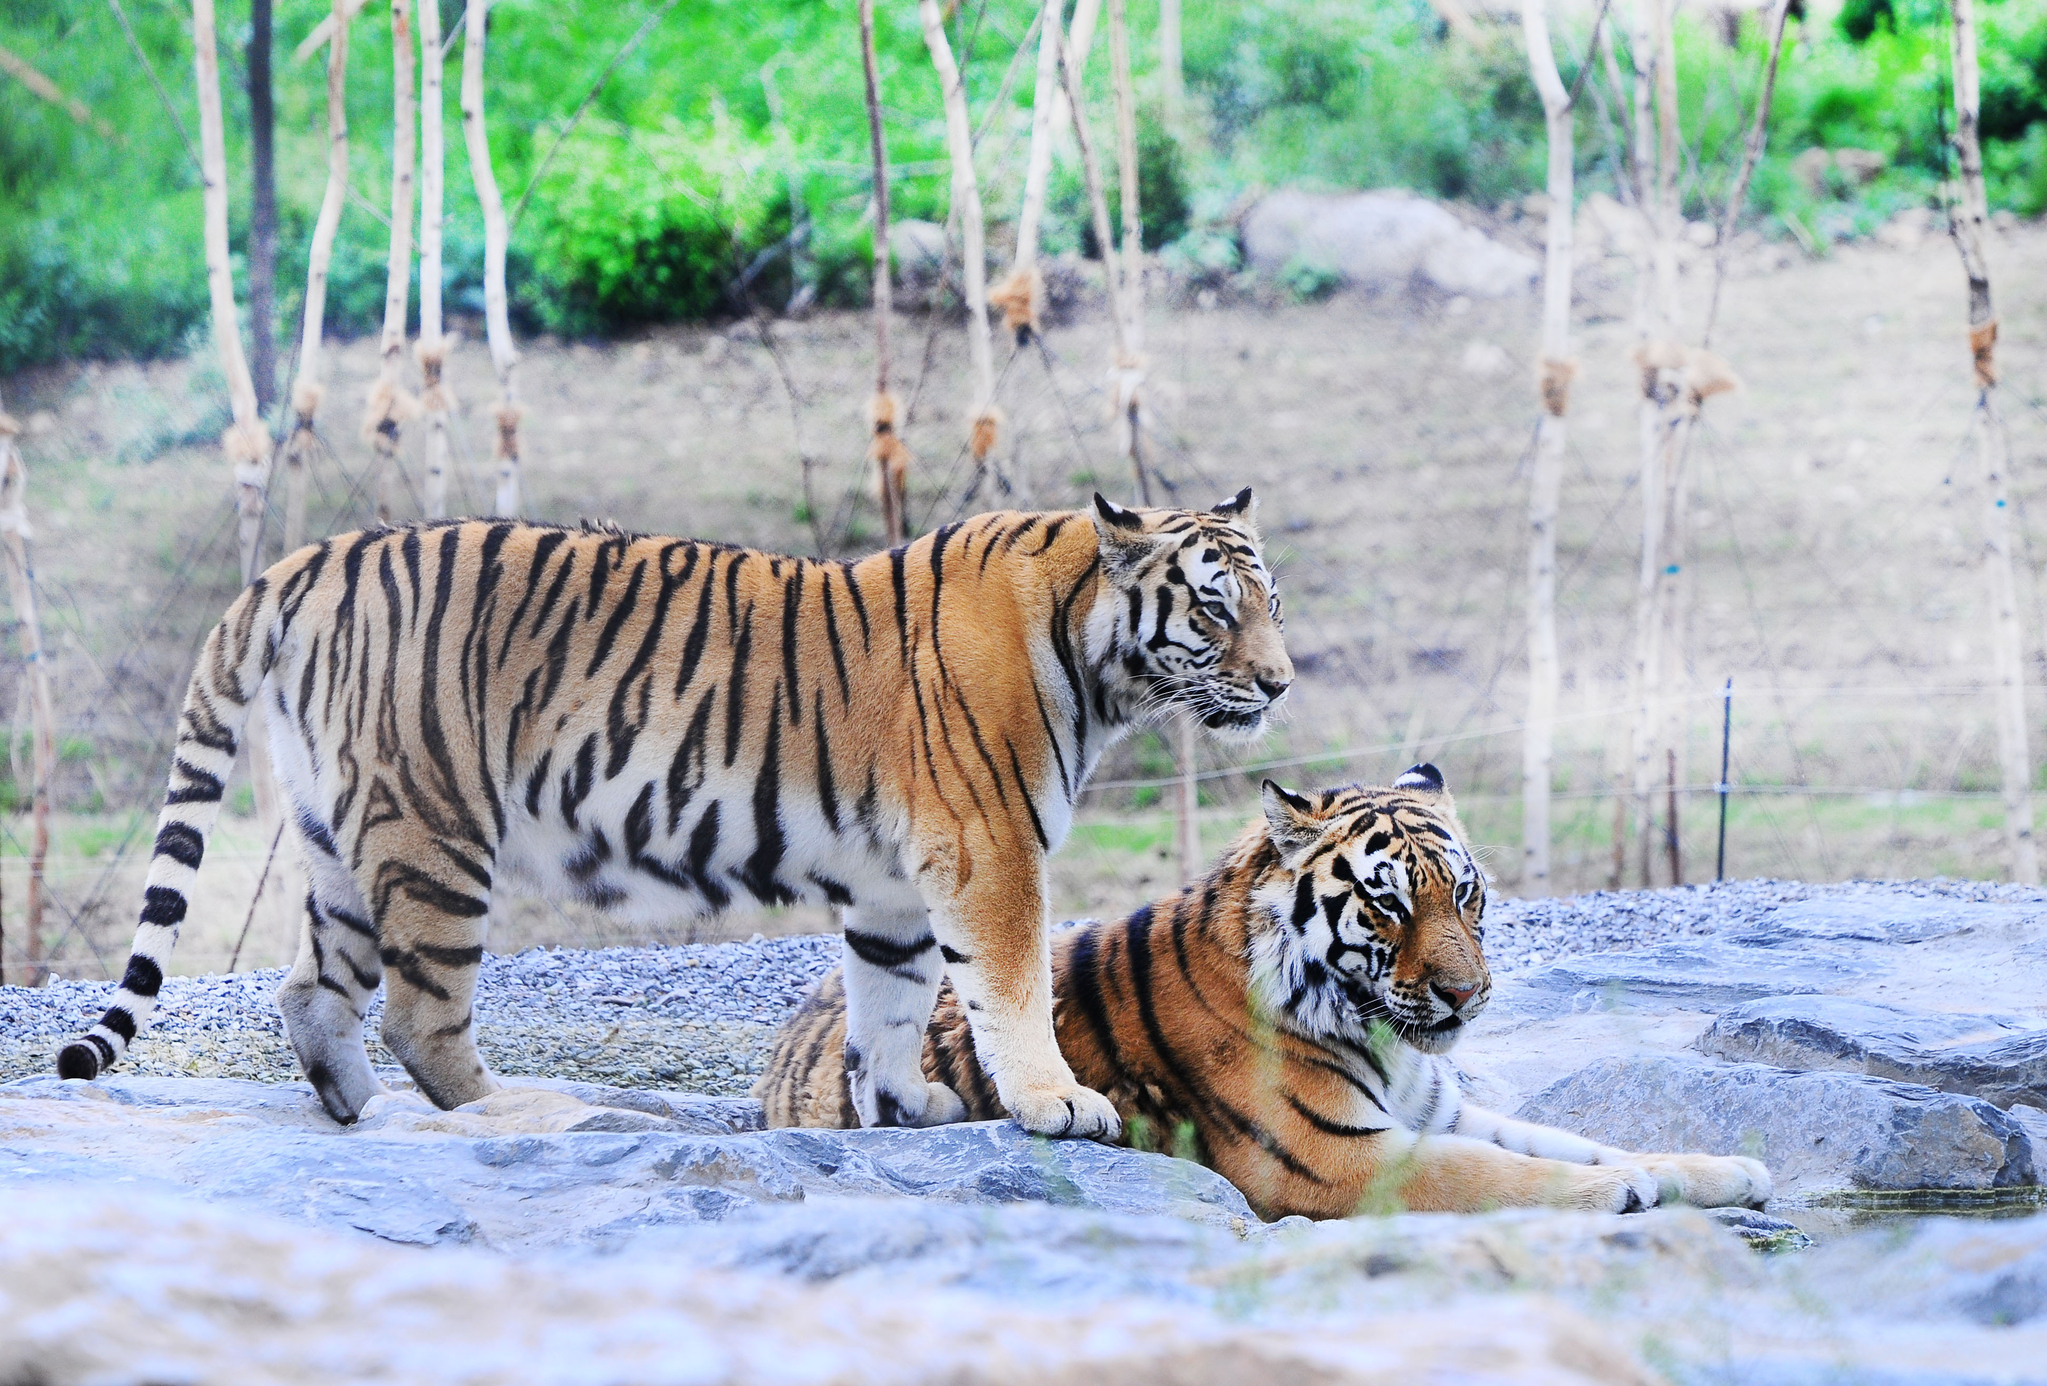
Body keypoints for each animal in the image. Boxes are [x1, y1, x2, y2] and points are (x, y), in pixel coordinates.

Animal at [56, 489, 1285, 1138]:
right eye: (1214, 610)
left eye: (1271, 603)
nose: (1278, 685)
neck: (1094, 658)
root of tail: (310, 557)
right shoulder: (990, 854)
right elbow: (1012, 988)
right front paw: (1057, 1104)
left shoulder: (892, 887)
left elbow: (892, 1002)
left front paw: (905, 1104)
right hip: (434, 831)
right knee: (418, 1013)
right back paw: (512, 1111)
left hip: (337, 842)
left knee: (311, 993)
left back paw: (366, 1114)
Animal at [761, 765, 1768, 1220]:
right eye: (1389, 903)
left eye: (1466, 894)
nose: (1467, 994)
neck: (1380, 1038)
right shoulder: (1330, 1156)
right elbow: (1498, 1172)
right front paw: (1623, 1189)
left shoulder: (1438, 1111)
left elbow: (1578, 1138)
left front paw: (1724, 1170)